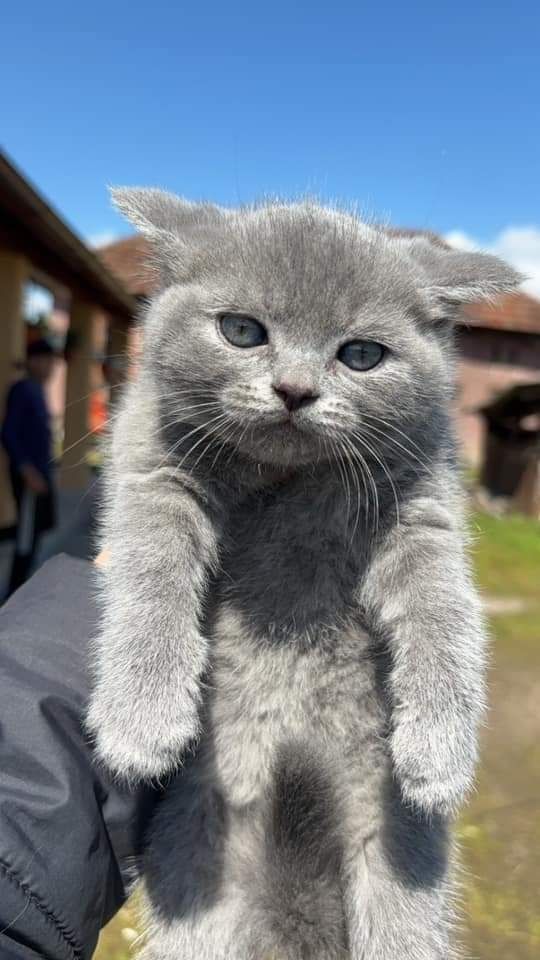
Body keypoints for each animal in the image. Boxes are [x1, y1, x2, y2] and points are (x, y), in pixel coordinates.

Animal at [87, 195, 520, 960]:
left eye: (361, 354)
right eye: (241, 331)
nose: (294, 389)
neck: (288, 483)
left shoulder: (424, 510)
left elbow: (446, 611)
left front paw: (439, 750)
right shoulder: (152, 469)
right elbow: (151, 571)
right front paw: (141, 717)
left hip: (397, 880)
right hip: (195, 882)